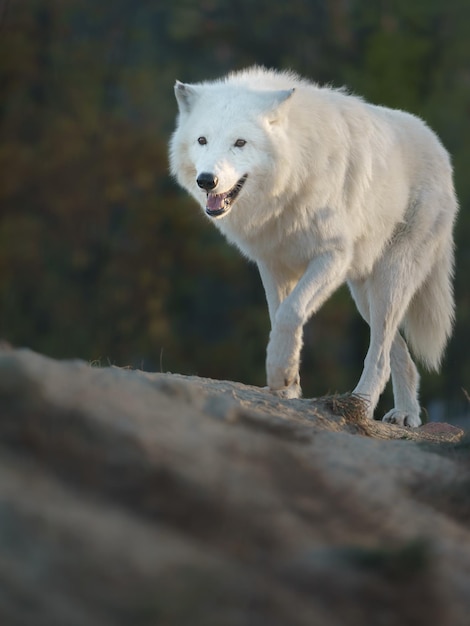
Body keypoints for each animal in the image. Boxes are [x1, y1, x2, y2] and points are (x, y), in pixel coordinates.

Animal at [168, 67, 456, 424]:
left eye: (240, 142)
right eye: (202, 140)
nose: (207, 180)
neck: (291, 180)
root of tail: (439, 147)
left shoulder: (332, 256)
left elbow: (290, 312)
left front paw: (280, 373)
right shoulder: (273, 263)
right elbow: (279, 314)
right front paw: (288, 386)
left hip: (389, 280)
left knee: (379, 354)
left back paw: (361, 405)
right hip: (364, 295)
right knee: (397, 352)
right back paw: (405, 414)